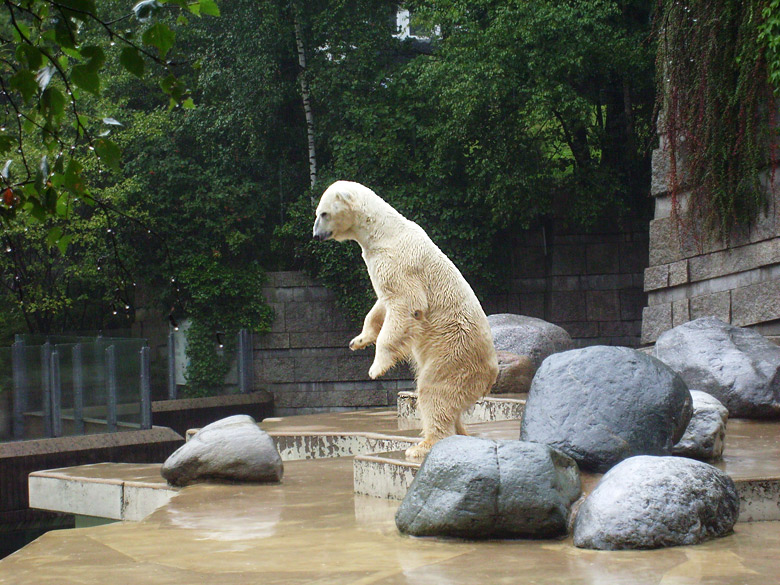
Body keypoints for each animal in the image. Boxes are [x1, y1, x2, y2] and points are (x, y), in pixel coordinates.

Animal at [312, 180, 500, 458]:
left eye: (323, 214)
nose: (316, 235)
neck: (383, 231)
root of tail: (491, 375)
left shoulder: (398, 262)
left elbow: (407, 304)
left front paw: (376, 367)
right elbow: (380, 305)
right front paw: (358, 341)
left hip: (454, 352)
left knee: (435, 390)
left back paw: (422, 446)